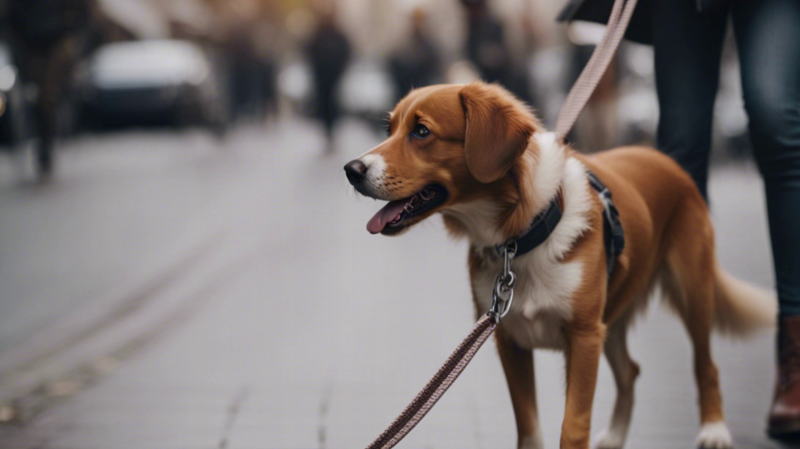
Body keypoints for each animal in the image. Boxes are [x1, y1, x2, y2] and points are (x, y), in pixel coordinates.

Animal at [344, 82, 776, 448]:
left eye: (421, 132)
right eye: (390, 127)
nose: (352, 170)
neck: (521, 237)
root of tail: (659, 156)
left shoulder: (583, 337)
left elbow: (573, 426)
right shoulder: (510, 339)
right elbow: (529, 427)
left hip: (692, 292)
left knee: (706, 365)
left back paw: (714, 430)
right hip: (610, 318)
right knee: (630, 371)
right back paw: (615, 437)